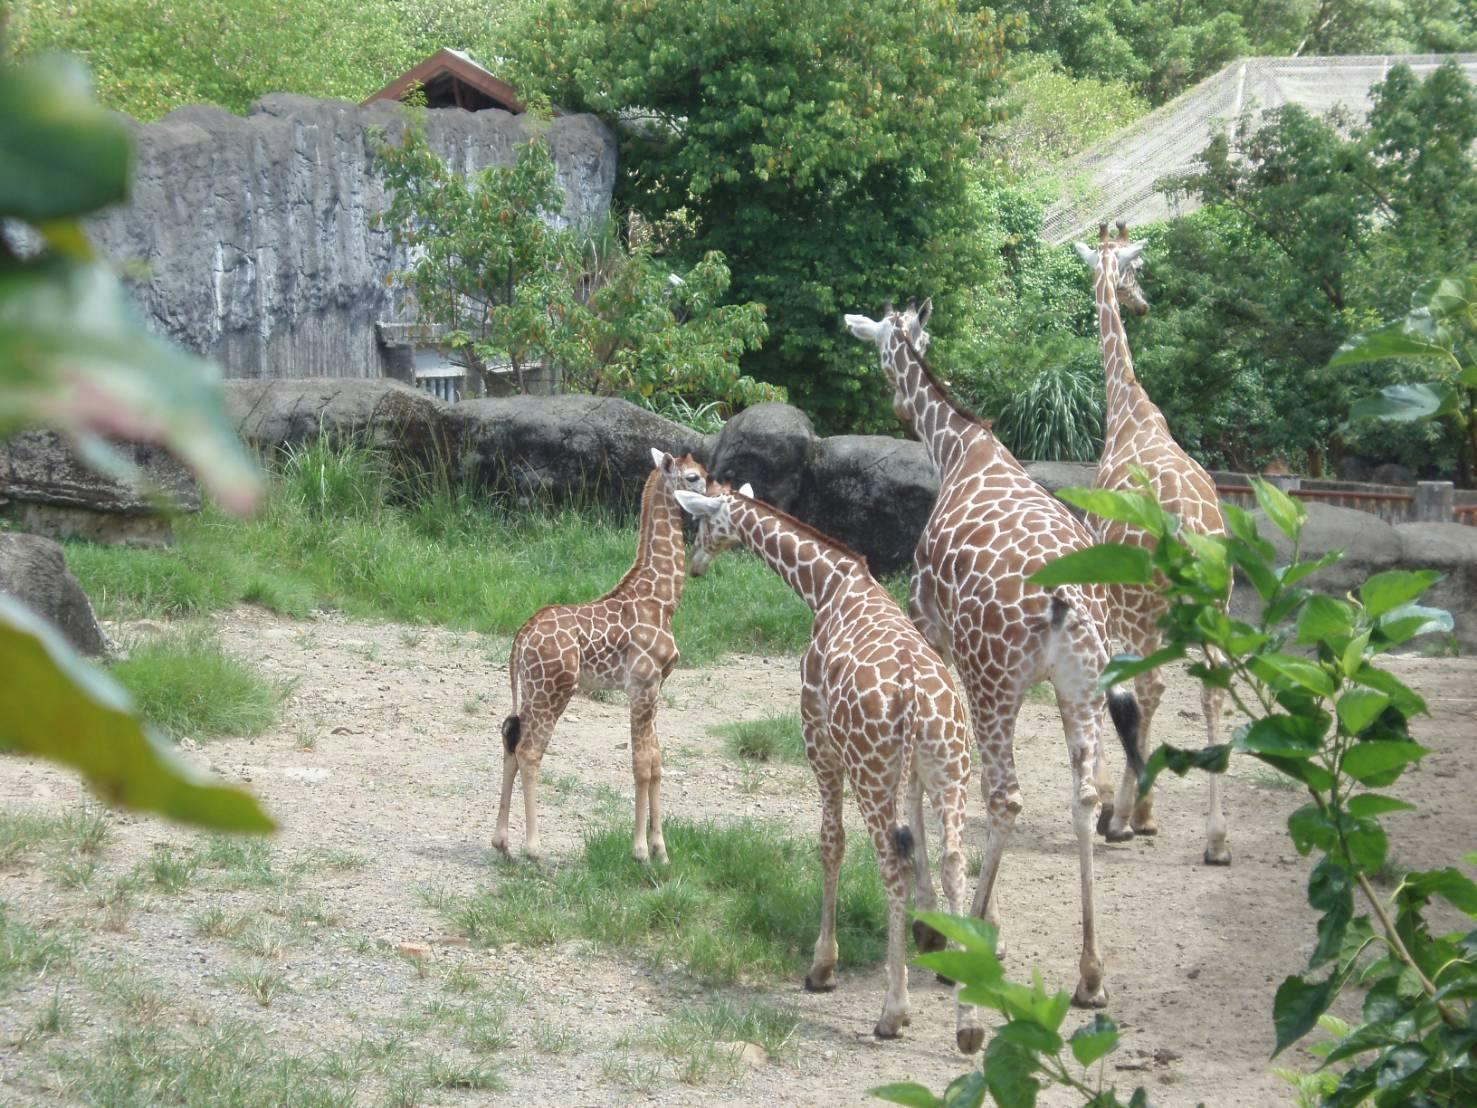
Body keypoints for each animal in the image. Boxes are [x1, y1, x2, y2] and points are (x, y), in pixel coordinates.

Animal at [493, 452, 706, 868]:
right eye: (693, 477)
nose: (714, 499)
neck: (663, 601)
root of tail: (521, 636)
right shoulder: (641, 686)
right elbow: (641, 763)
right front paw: (640, 851)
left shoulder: (656, 688)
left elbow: (657, 760)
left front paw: (662, 851)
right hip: (554, 690)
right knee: (529, 751)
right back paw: (534, 848)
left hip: (532, 690)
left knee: (511, 741)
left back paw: (503, 844)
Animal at [676, 481, 980, 1051]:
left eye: (702, 522)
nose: (696, 565)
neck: (827, 586)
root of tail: (914, 698)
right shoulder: (913, 774)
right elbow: (923, 846)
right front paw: (932, 937)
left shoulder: (816, 737)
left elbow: (830, 843)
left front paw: (822, 968)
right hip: (950, 768)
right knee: (954, 859)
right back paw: (968, 1021)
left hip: (869, 768)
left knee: (890, 862)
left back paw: (893, 1013)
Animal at [844, 299, 1140, 1010]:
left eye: (880, 351)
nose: (898, 407)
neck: (958, 449)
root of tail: (1066, 599)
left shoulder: (931, 632)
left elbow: (920, 782)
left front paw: (930, 919)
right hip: (1079, 688)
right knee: (1082, 795)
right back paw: (1090, 974)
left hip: (993, 679)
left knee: (1004, 796)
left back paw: (976, 932)